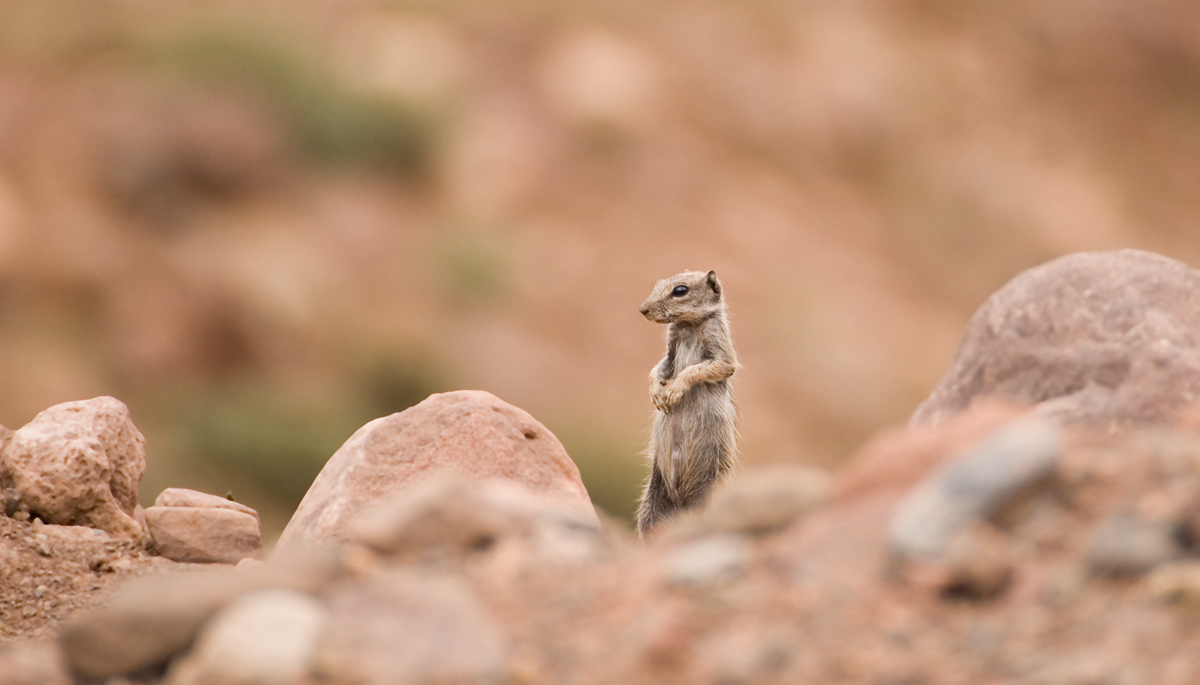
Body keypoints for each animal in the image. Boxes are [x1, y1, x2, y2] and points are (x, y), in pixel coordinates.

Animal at [636, 269, 739, 537]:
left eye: (680, 290)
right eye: (658, 284)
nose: (643, 309)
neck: (688, 326)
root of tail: (683, 505)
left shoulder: (720, 348)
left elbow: (702, 369)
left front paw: (673, 391)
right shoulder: (670, 352)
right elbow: (659, 368)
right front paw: (656, 392)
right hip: (651, 504)